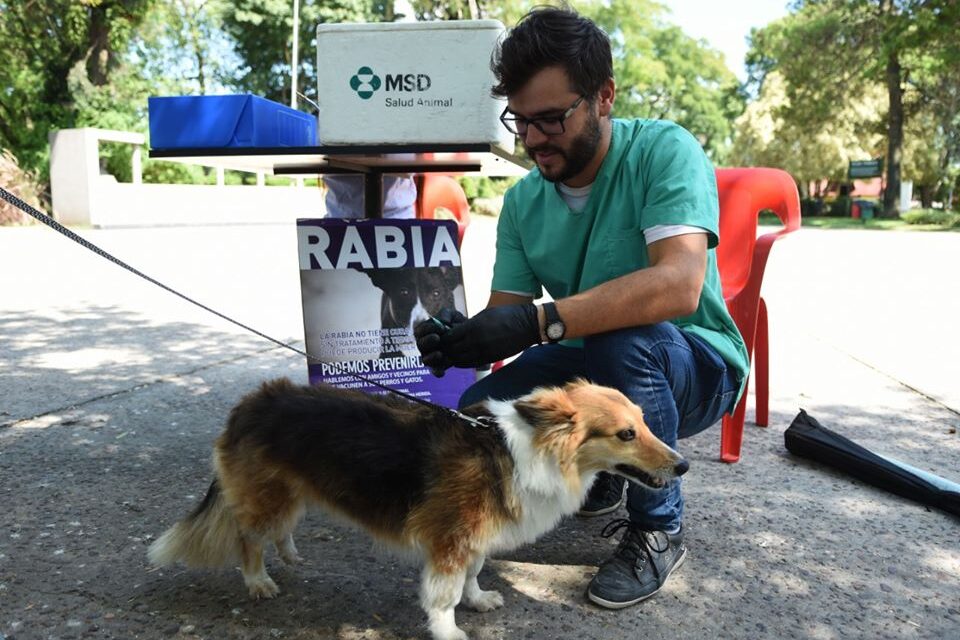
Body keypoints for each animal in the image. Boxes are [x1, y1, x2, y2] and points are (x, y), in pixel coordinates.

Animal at [148, 378, 688, 636]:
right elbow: (443, 596)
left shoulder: (474, 538)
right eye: (626, 434)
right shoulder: (449, 540)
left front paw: (479, 600)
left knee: (280, 529)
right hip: (268, 498)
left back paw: (290, 554)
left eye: (645, 421)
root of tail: (249, 405)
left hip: (294, 493)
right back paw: (259, 580)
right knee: (247, 538)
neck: (528, 450)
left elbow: (473, 575)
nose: (682, 465)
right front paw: (450, 631)